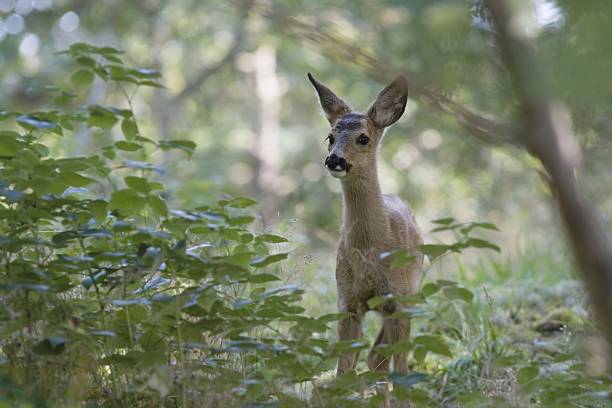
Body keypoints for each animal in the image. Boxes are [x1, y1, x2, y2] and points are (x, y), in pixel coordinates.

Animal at [308, 72, 424, 380]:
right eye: (330, 137)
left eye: (363, 138)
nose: (334, 159)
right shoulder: (346, 298)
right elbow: (344, 367)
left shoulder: (399, 296)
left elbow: (401, 365)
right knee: (375, 358)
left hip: (411, 292)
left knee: (384, 357)